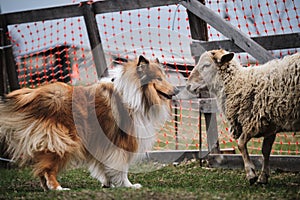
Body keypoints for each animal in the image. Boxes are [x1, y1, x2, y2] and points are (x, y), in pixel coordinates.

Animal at [0, 55, 178, 190]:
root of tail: (34, 94)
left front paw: (108, 183)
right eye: (159, 78)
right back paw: (58, 188)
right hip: (63, 140)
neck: (135, 93)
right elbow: (121, 168)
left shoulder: (103, 142)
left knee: (42, 169)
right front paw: (128, 185)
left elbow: (105, 165)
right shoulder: (121, 142)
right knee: (47, 170)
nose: (177, 90)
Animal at [186, 49, 298, 184]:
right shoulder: (270, 123)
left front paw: (251, 174)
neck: (238, 84)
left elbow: (240, 144)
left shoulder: (254, 121)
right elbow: (266, 150)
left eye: (206, 65)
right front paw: (263, 177)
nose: (188, 85)